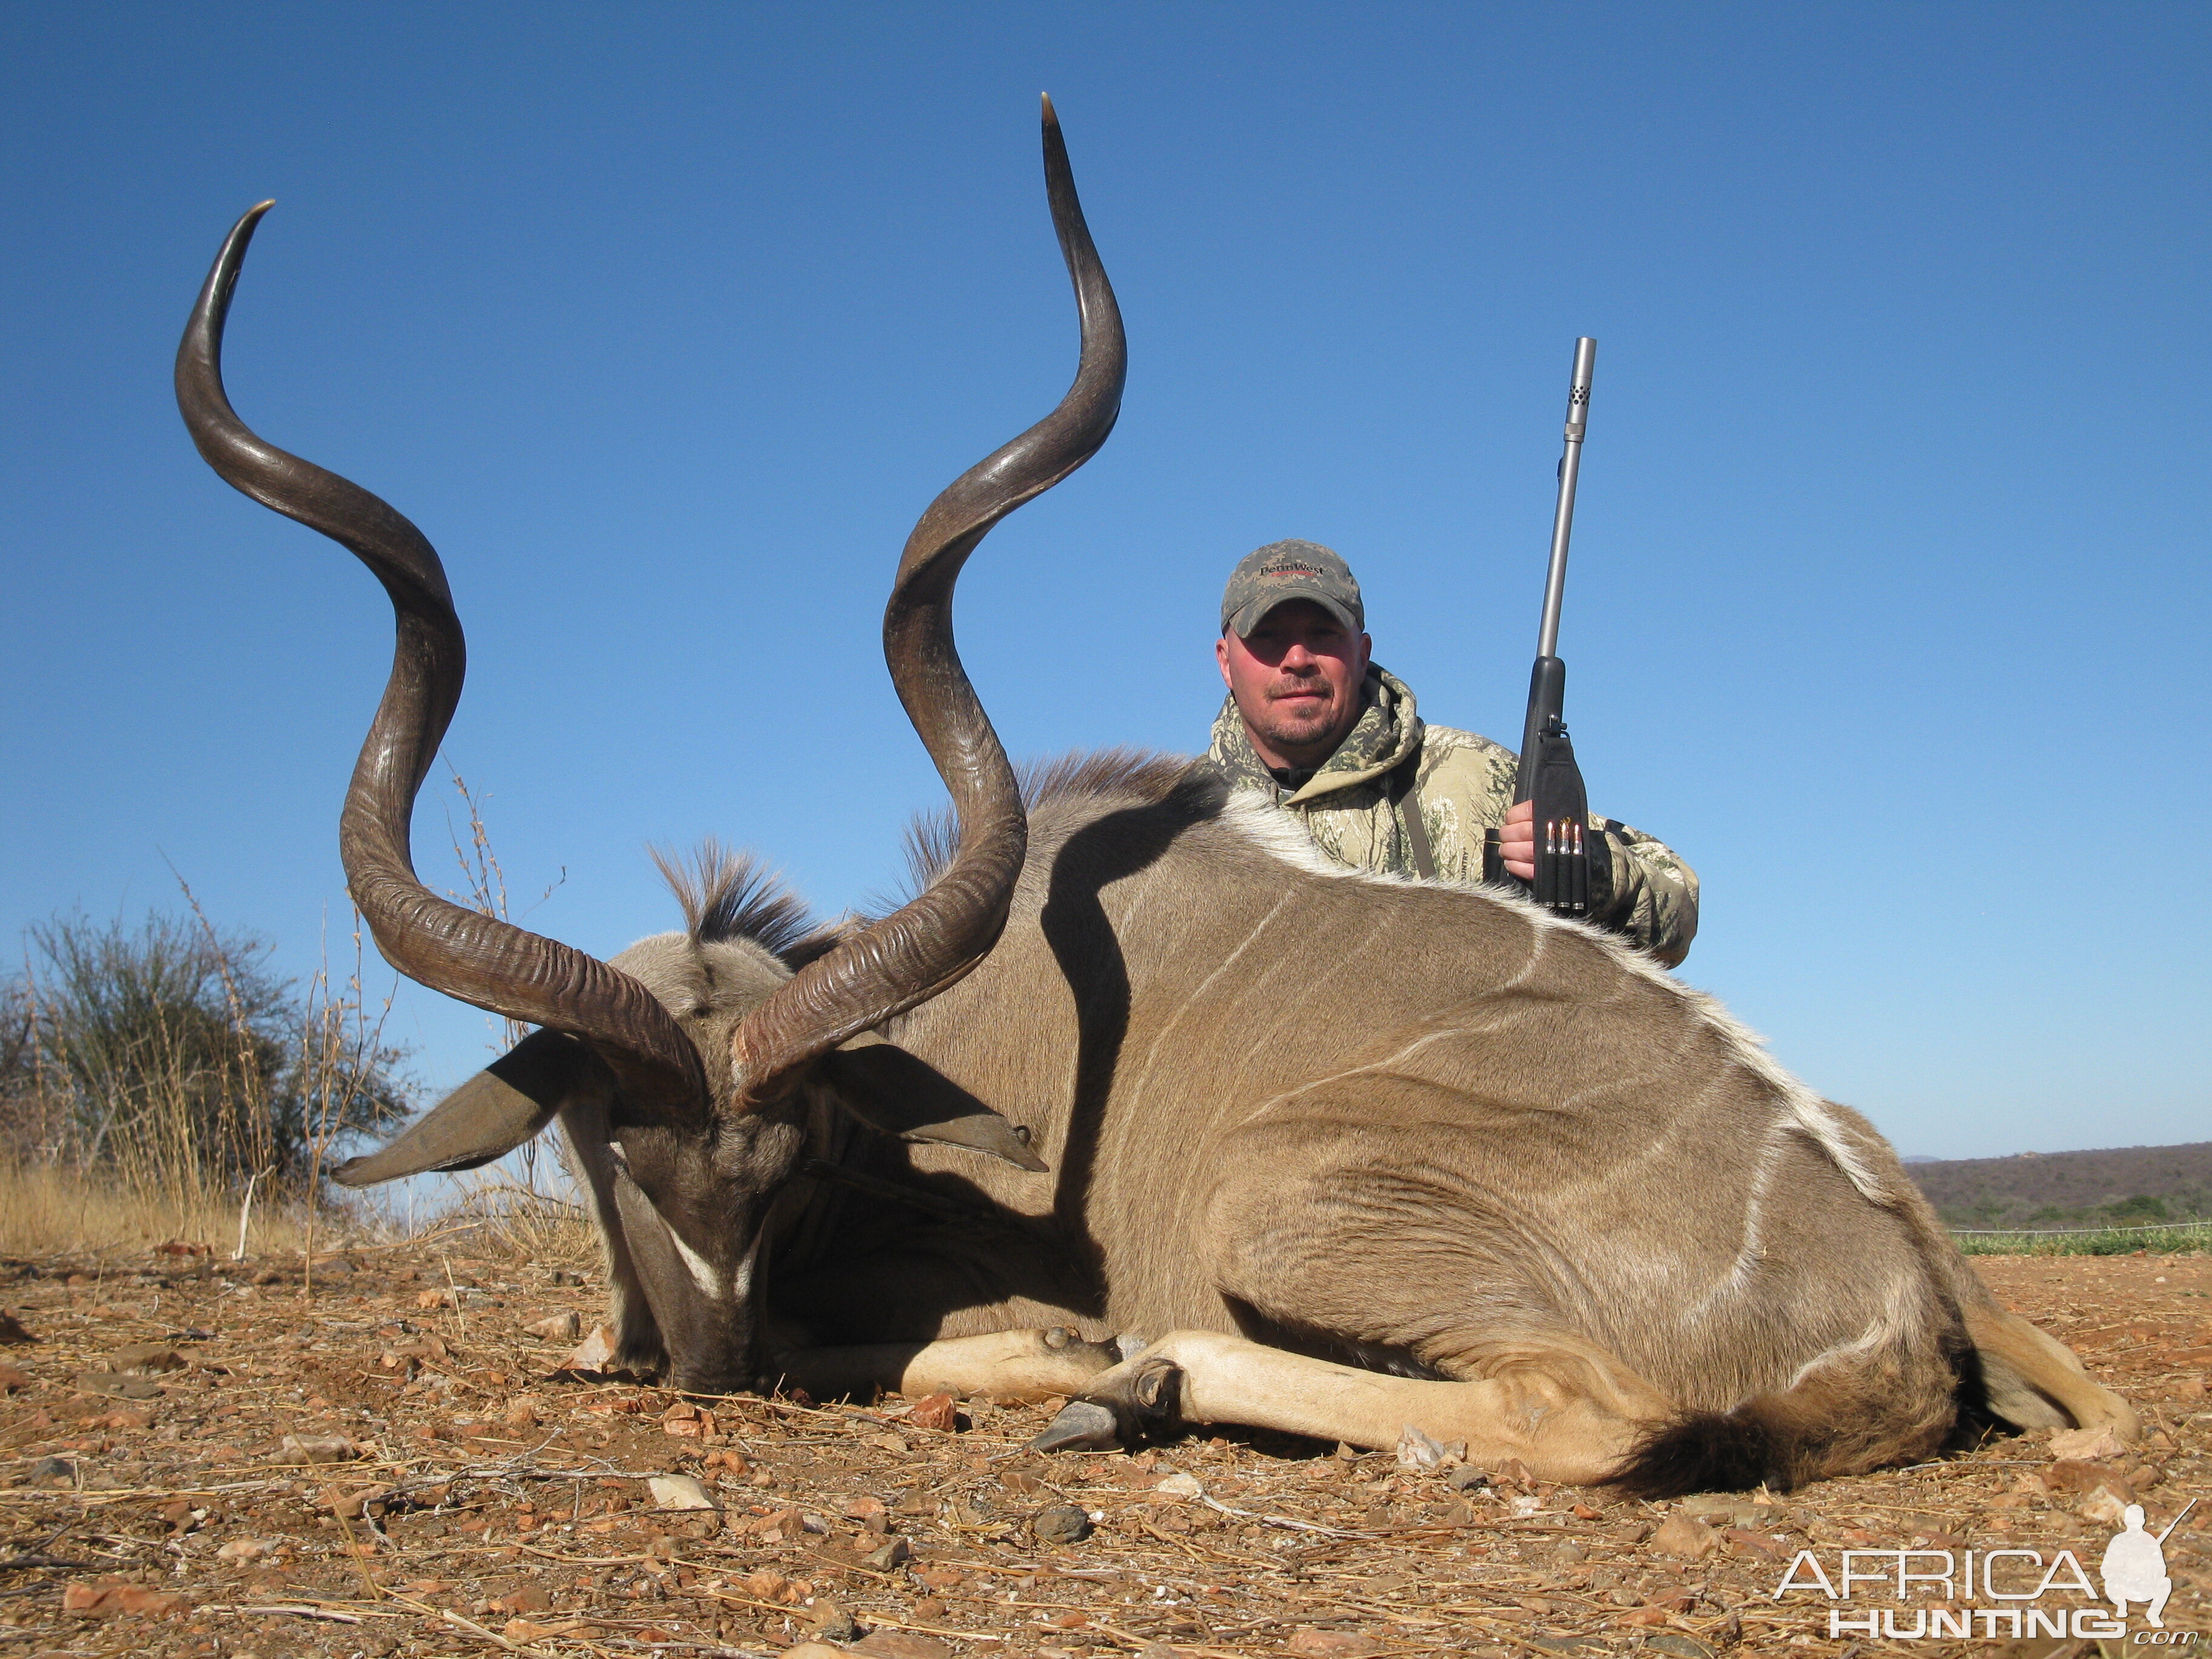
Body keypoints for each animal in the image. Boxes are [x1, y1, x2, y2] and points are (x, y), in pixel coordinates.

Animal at [186, 110, 2123, 1504]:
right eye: (603, 1138)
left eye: (798, 1161)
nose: (712, 1365)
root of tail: (1902, 1305)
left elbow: (934, 1334)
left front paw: (1069, 1365)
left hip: (1286, 1201)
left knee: (1586, 1420)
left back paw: (1155, 1377)